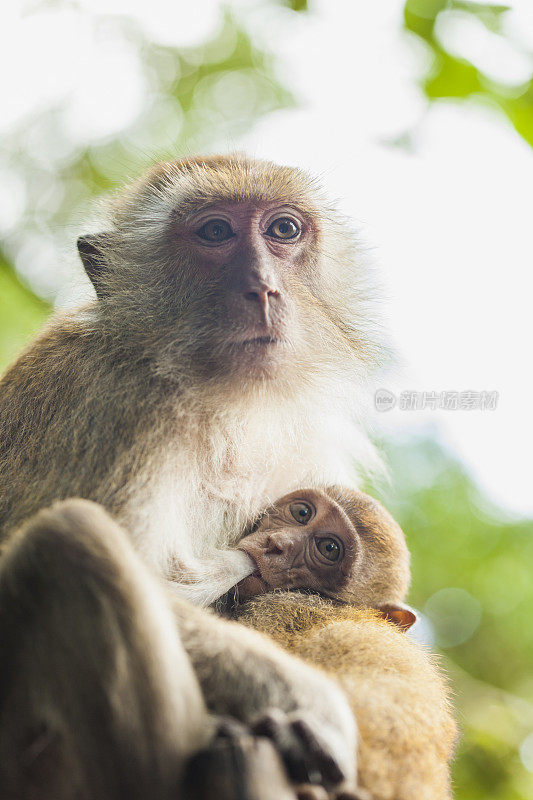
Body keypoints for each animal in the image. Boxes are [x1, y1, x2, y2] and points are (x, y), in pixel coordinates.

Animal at [0, 155, 382, 792]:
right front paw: (311, 703)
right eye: (215, 232)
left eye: (284, 230)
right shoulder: (117, 409)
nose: (264, 288)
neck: (215, 396)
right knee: (71, 542)